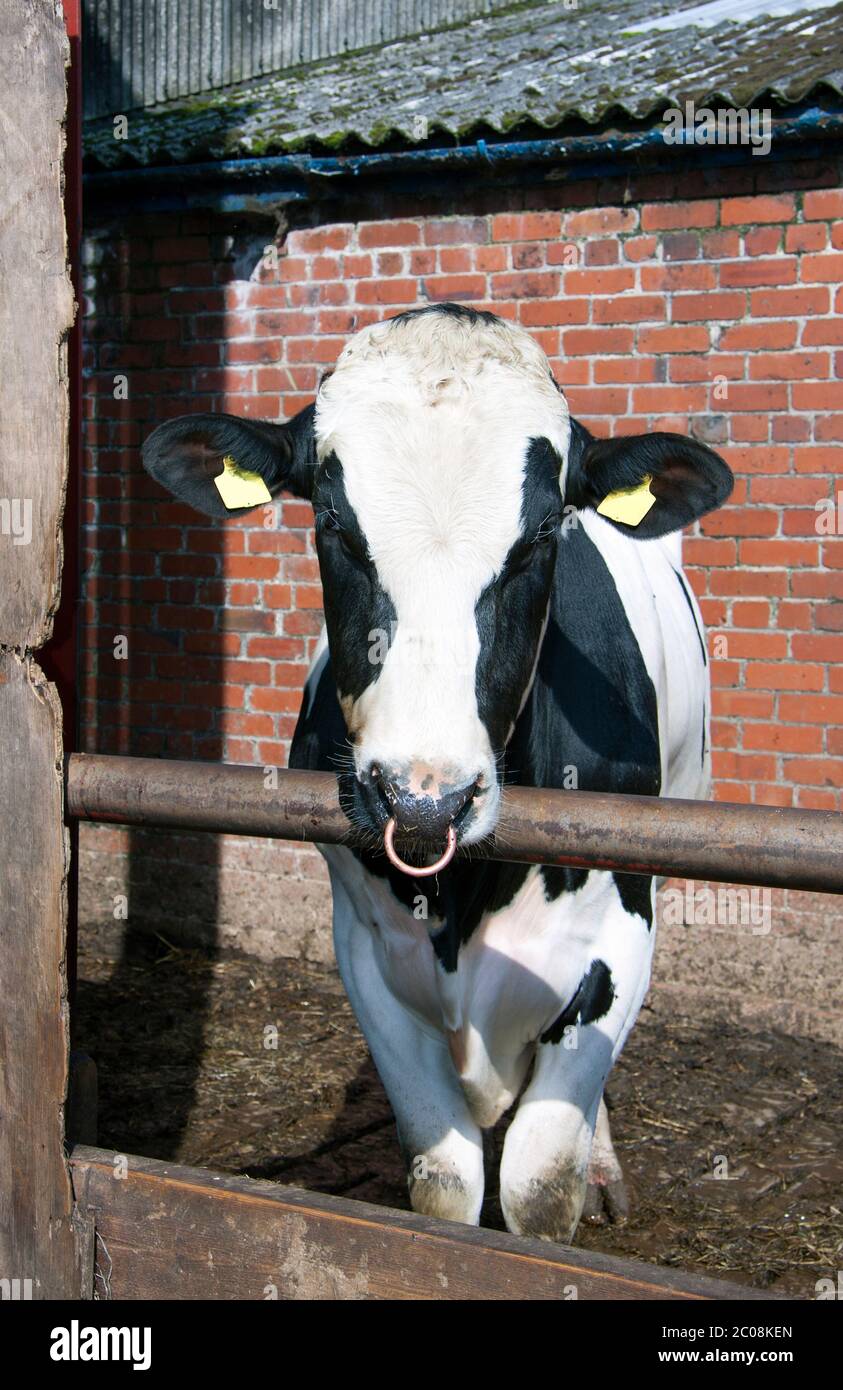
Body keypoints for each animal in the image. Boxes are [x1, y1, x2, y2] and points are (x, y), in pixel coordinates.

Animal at [143, 303, 733, 1242]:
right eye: (333, 526)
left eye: (542, 535)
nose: (424, 803)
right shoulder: (364, 949)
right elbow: (445, 1181)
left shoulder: (618, 931)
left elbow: (540, 1180)